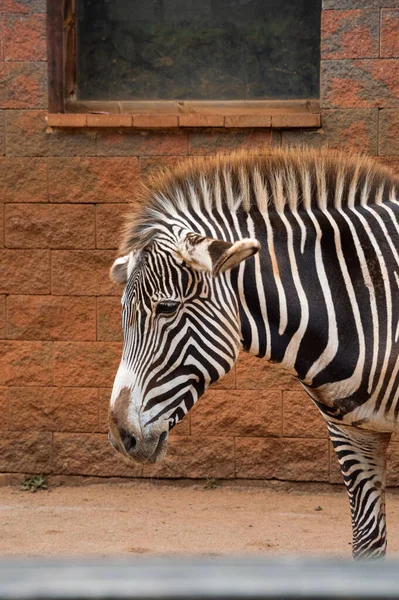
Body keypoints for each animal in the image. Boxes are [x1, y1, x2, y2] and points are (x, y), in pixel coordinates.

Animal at [108, 148, 399, 560]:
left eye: (166, 308)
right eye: (122, 313)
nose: (121, 436)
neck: (366, 303)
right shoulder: (353, 432)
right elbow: (368, 544)